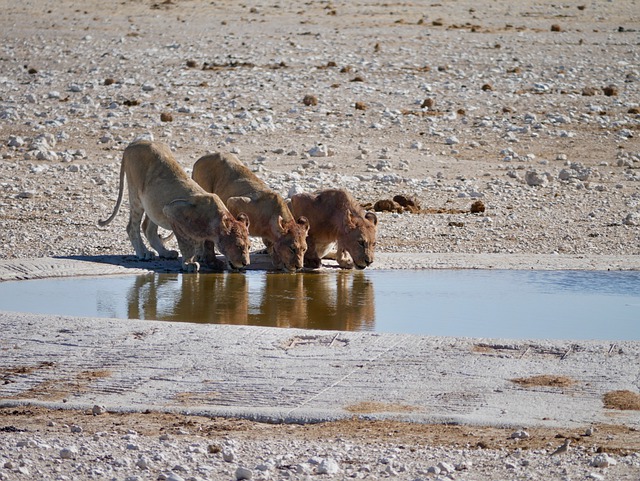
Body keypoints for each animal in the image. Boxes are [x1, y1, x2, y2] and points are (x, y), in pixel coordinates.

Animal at [99, 141, 251, 272]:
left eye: (249, 247)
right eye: (238, 245)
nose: (245, 263)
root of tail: (134, 143)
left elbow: (207, 245)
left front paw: (212, 262)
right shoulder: (172, 211)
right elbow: (185, 244)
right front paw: (189, 264)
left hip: (154, 204)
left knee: (148, 228)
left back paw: (165, 252)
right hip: (136, 196)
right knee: (132, 226)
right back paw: (143, 253)